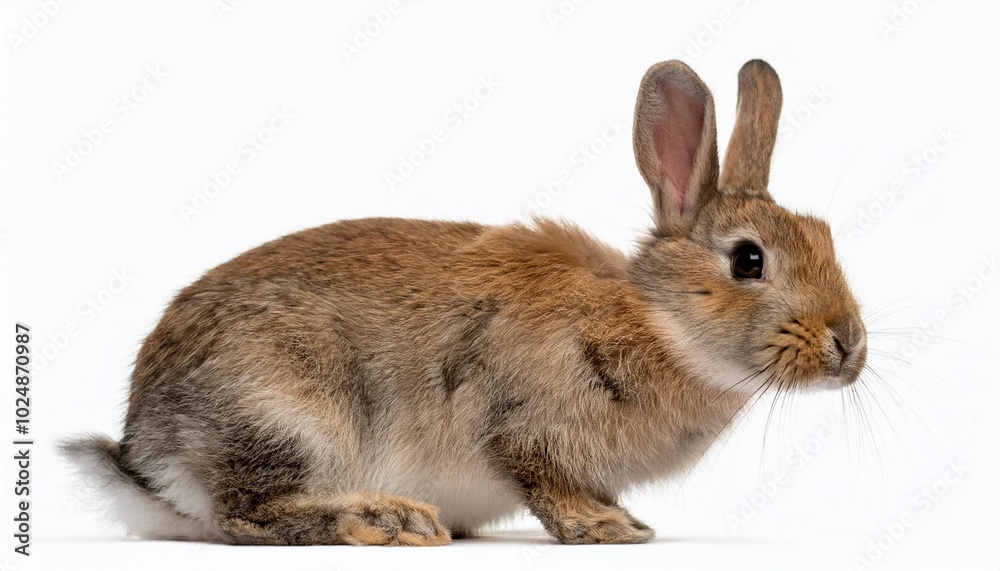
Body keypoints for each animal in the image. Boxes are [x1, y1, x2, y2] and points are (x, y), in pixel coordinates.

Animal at [61, 59, 867, 546]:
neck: (660, 324)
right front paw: (604, 528)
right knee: (247, 516)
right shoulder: (518, 419)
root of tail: (150, 459)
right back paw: (388, 520)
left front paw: (625, 518)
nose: (849, 345)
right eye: (748, 260)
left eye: (828, 238)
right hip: (286, 413)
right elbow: (543, 479)